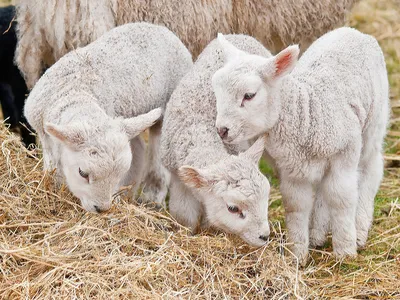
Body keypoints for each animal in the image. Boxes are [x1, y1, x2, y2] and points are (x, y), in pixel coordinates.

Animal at [24, 22, 193, 212]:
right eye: (82, 173)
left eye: (118, 174)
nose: (102, 209)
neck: (74, 91)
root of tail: (159, 27)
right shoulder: (43, 133)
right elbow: (52, 164)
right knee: (139, 148)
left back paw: (152, 197)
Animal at [161, 34, 274, 247]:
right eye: (233, 208)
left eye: (267, 197)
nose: (264, 236)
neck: (197, 126)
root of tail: (238, 34)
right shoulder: (178, 177)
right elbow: (184, 217)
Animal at [212, 27, 390, 262]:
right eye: (216, 92)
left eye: (249, 95)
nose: (222, 130)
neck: (306, 111)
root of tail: (353, 31)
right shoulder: (292, 168)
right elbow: (296, 205)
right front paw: (296, 254)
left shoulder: (346, 150)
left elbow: (341, 198)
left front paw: (345, 251)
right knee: (324, 188)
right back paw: (317, 233)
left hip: (373, 122)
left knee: (371, 169)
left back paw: (359, 229)